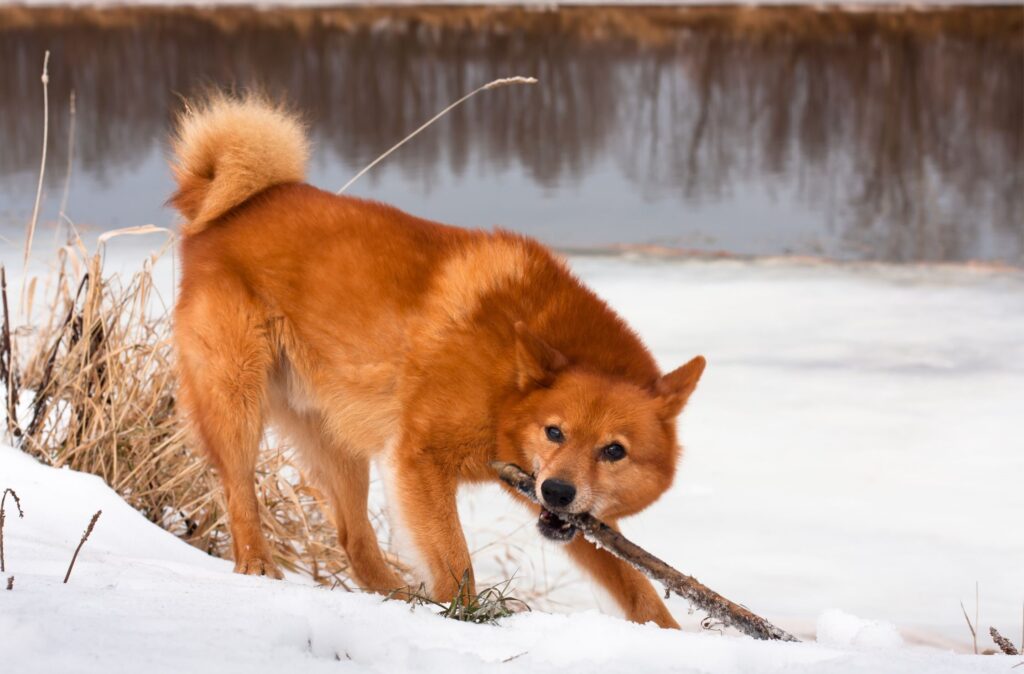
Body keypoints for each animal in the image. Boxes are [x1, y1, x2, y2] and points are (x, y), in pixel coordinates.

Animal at [172, 93, 708, 622]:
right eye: (554, 432)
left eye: (614, 451)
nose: (558, 491)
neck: (506, 384)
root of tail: (223, 210)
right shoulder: (419, 460)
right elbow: (456, 563)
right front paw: (465, 617)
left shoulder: (575, 516)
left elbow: (638, 588)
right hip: (237, 401)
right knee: (240, 495)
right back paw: (259, 566)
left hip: (339, 442)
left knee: (356, 543)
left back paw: (398, 599)